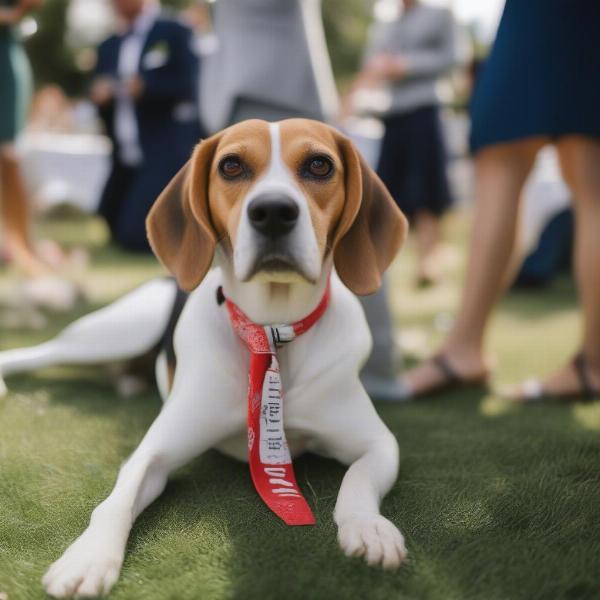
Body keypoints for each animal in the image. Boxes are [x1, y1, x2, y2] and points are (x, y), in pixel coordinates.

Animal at [0, 119, 408, 596]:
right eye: (231, 165)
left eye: (319, 165)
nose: (273, 211)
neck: (271, 330)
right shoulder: (152, 453)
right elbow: (114, 502)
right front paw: (87, 557)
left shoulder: (379, 443)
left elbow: (357, 482)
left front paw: (369, 528)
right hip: (112, 332)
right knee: (39, 352)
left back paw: (128, 380)